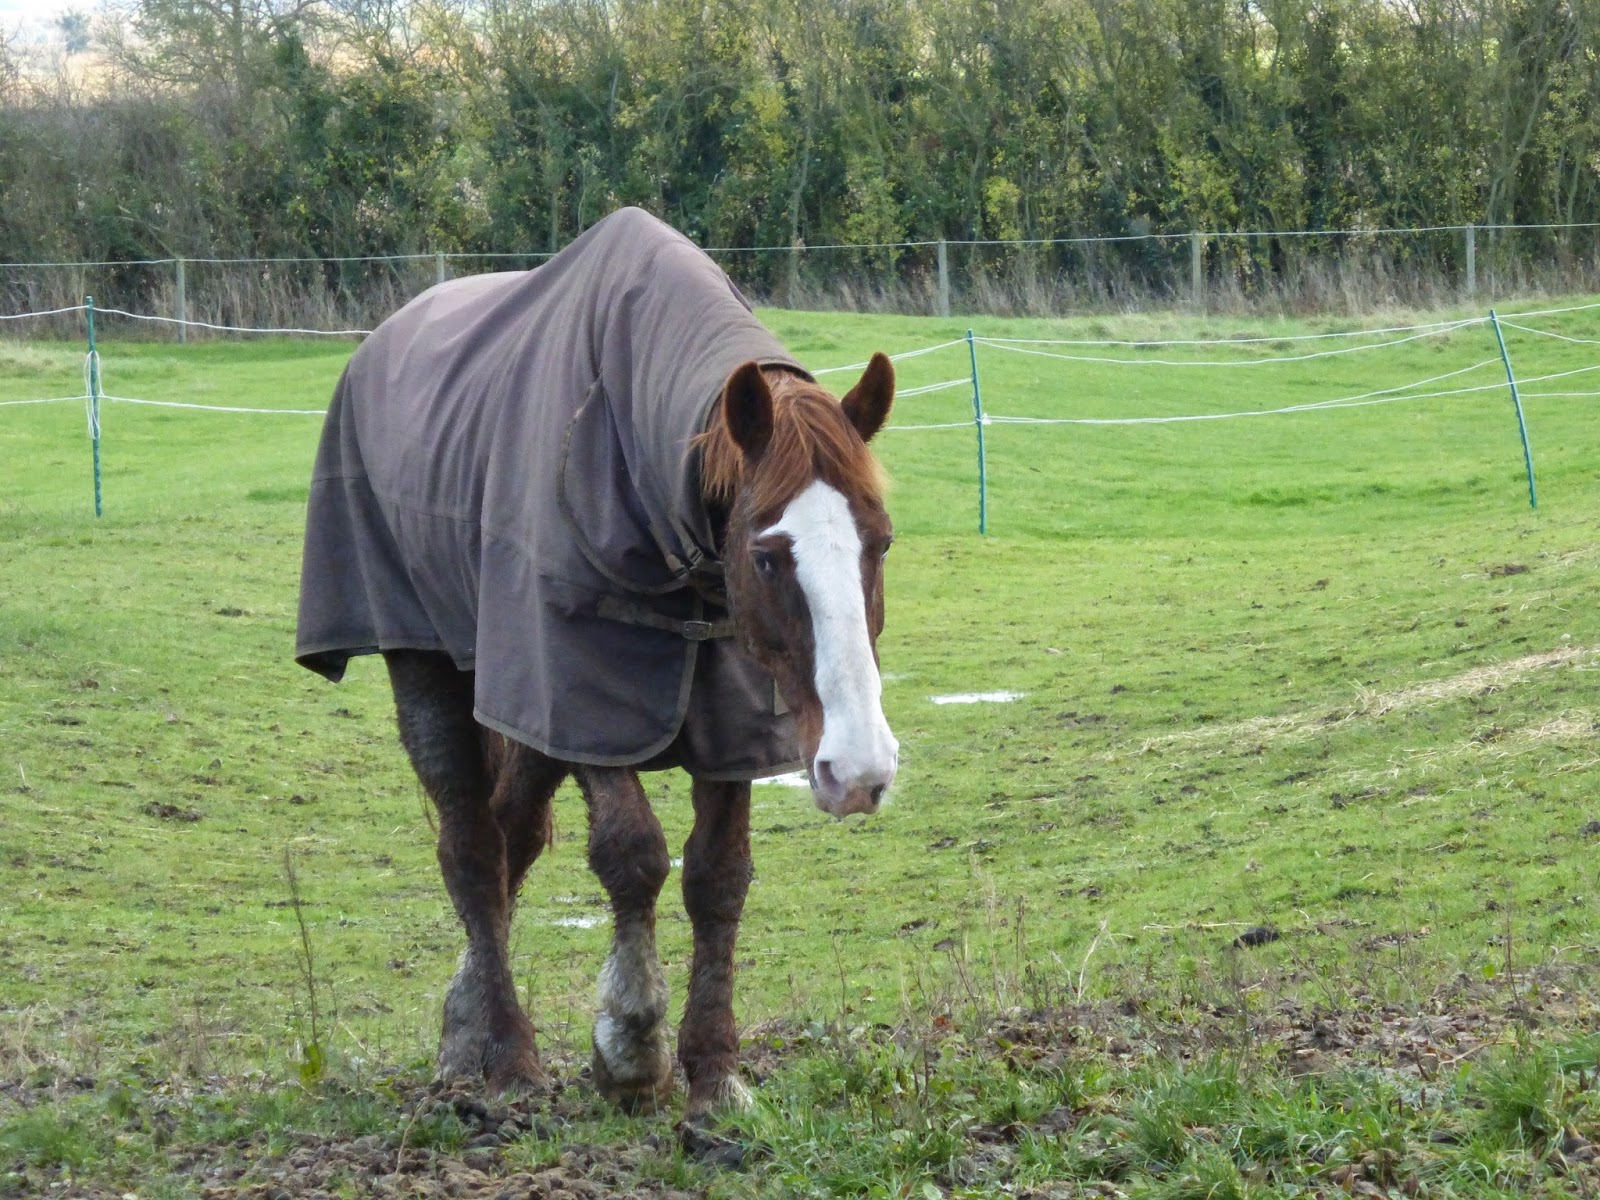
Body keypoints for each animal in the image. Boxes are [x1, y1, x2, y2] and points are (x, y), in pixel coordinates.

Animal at [295, 207, 898, 1118]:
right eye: (765, 556)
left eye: (881, 541)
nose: (858, 770)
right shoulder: (580, 698)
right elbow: (633, 854)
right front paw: (631, 1046)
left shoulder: (725, 722)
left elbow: (718, 877)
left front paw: (714, 1071)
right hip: (434, 668)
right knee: (471, 851)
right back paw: (505, 1058)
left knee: (510, 835)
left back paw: (465, 1029)